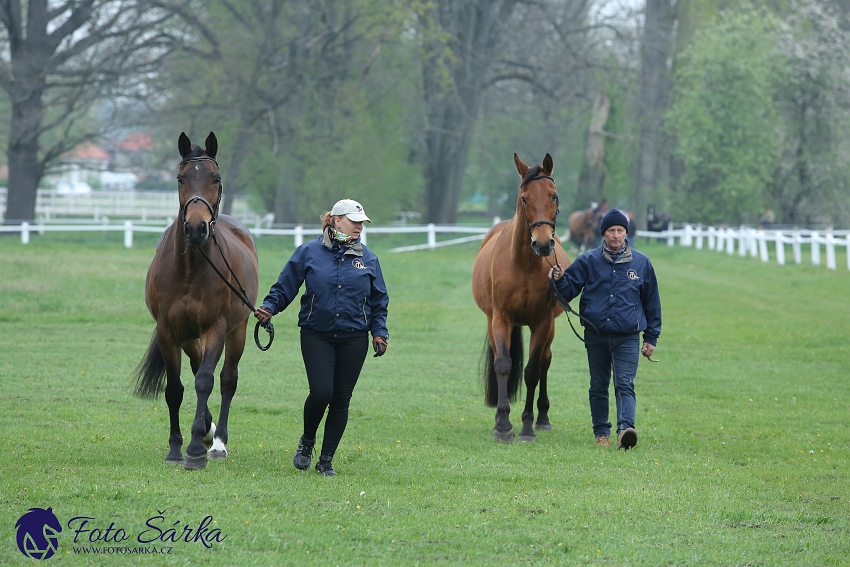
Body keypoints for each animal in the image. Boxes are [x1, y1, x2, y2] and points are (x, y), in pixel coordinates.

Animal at [132, 132, 258, 470]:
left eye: (216, 178)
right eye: (180, 178)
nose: (197, 227)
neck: (188, 269)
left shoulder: (217, 328)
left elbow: (205, 381)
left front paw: (195, 450)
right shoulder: (169, 331)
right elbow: (175, 388)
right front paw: (176, 448)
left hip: (238, 331)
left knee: (226, 379)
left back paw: (217, 442)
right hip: (189, 338)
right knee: (199, 365)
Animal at [470, 154, 568, 444]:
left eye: (553, 196)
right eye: (524, 198)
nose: (543, 244)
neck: (524, 263)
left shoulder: (542, 322)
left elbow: (532, 370)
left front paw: (526, 427)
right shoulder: (502, 318)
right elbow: (503, 365)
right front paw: (503, 425)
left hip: (550, 328)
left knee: (545, 361)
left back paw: (542, 418)